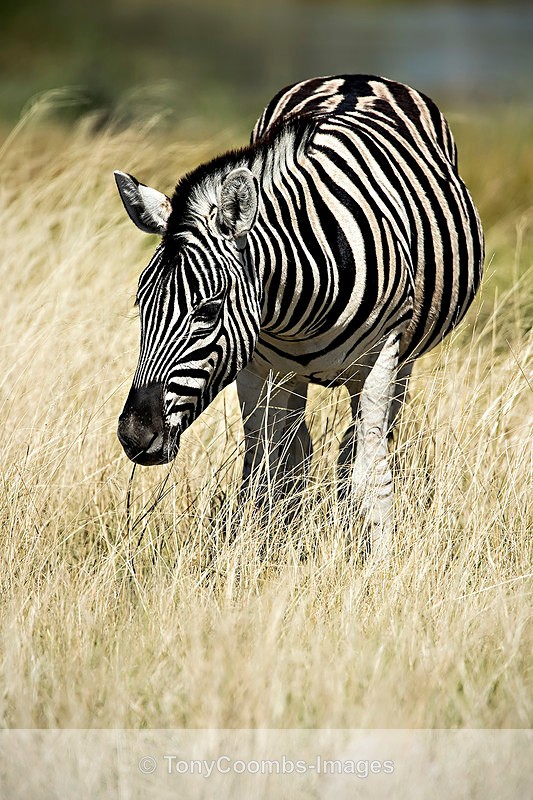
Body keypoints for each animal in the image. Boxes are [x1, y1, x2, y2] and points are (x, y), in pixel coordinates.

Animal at [114, 74, 484, 553]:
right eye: (141, 305)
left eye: (208, 311)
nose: (134, 436)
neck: (300, 305)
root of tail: (358, 77)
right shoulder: (253, 366)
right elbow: (264, 471)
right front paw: (262, 551)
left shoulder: (381, 357)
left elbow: (372, 475)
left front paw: (379, 560)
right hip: (288, 377)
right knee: (295, 452)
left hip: (402, 360)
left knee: (362, 444)